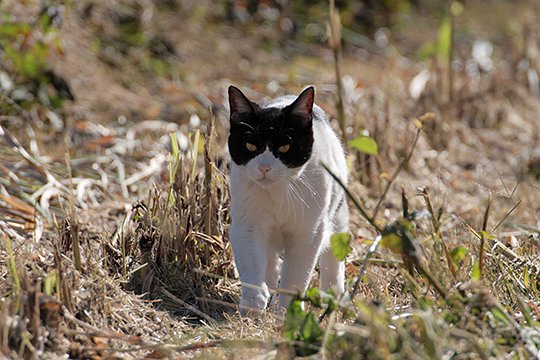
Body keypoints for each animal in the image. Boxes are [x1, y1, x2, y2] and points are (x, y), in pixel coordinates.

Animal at [226, 84, 348, 316]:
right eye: (250, 146)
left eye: (284, 147)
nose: (264, 167)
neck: (278, 192)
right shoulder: (247, 225)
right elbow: (250, 263)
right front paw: (253, 304)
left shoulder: (307, 234)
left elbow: (295, 277)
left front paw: (287, 313)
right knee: (270, 262)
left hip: (337, 214)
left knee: (333, 255)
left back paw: (332, 294)